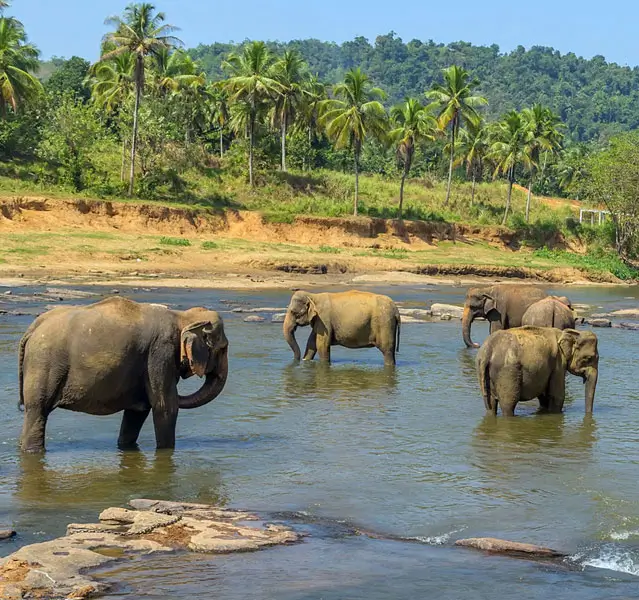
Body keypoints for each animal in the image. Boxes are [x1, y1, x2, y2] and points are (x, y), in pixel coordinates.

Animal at [16, 298, 230, 452]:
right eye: (223, 348)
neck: (181, 316)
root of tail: (33, 328)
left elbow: (138, 411)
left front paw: (126, 447)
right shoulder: (160, 353)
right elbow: (165, 406)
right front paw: (166, 452)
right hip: (44, 364)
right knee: (38, 410)